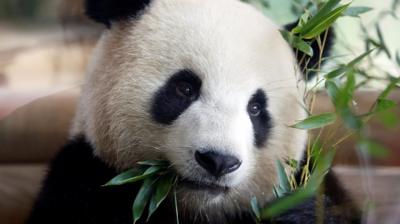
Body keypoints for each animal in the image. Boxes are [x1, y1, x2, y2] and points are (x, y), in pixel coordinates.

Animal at [28, 0, 360, 224]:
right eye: (185, 88)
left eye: (256, 108)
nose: (218, 161)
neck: (199, 208)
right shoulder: (84, 177)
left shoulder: (312, 174)